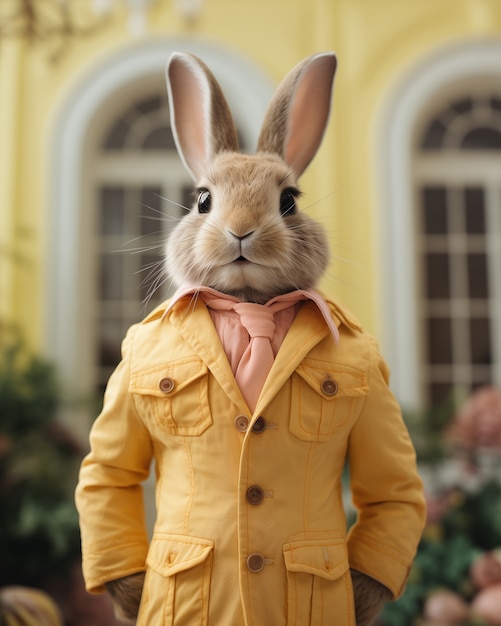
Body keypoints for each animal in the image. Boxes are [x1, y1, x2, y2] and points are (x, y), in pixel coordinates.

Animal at [76, 51, 424, 624]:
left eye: (289, 201)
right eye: (201, 200)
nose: (240, 229)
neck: (250, 304)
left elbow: (392, 488)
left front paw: (364, 596)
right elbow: (109, 471)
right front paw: (129, 596)